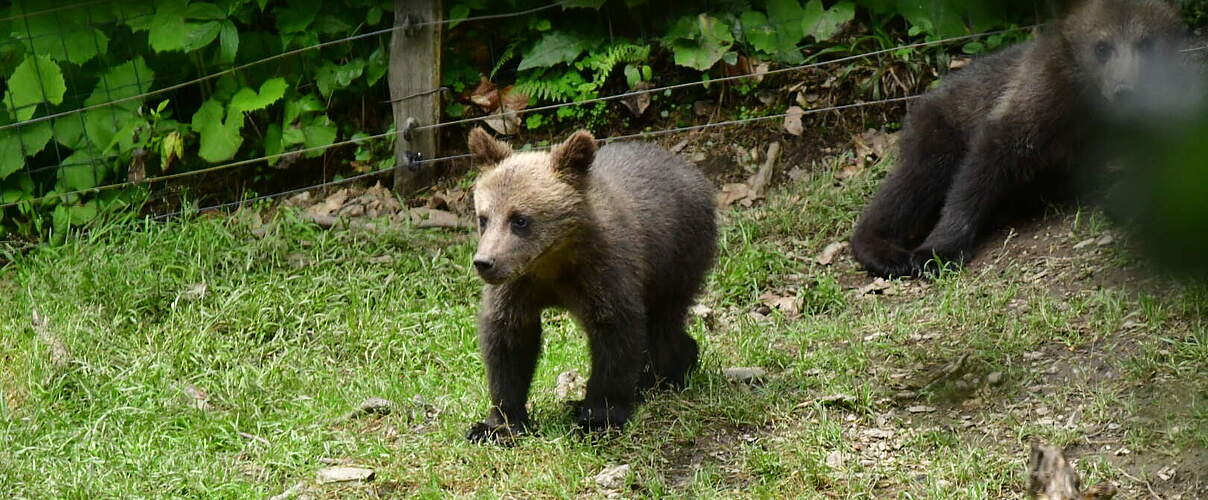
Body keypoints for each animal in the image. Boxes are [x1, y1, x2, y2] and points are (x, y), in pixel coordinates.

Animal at [461, 126, 710, 442]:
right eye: (483, 217)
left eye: (520, 219)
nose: (485, 262)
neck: (552, 262)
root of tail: (691, 170)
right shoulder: (519, 287)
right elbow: (509, 342)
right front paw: (499, 424)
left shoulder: (604, 275)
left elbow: (616, 337)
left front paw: (598, 419)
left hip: (675, 260)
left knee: (661, 326)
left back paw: (666, 375)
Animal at [850, 0, 1188, 277]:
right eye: (1102, 47)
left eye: (1146, 42)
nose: (1125, 90)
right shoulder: (1037, 98)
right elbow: (986, 162)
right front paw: (937, 251)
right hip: (938, 127)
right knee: (915, 182)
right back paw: (886, 253)